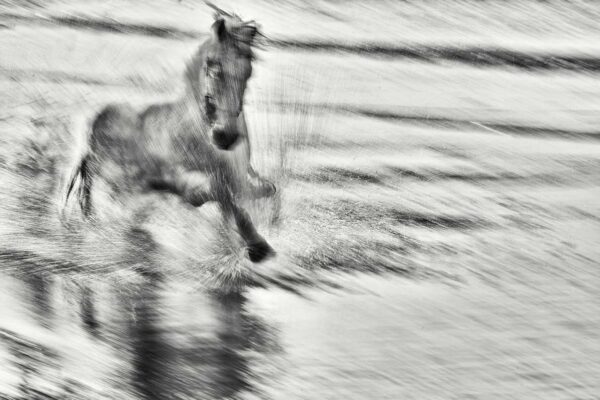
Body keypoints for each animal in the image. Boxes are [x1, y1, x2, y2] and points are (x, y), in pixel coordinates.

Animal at [61, 10, 276, 262]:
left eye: (248, 72)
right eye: (213, 66)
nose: (225, 135)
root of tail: (96, 123)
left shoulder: (240, 177)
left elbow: (256, 193)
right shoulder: (184, 182)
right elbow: (216, 194)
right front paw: (255, 244)